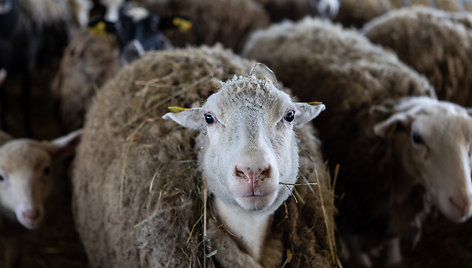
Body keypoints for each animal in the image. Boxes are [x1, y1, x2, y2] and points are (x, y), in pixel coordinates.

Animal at [243, 16, 472, 266]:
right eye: (417, 138)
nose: (462, 205)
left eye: (469, 144)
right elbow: (359, 256)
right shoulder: (352, 207)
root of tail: (291, 24)